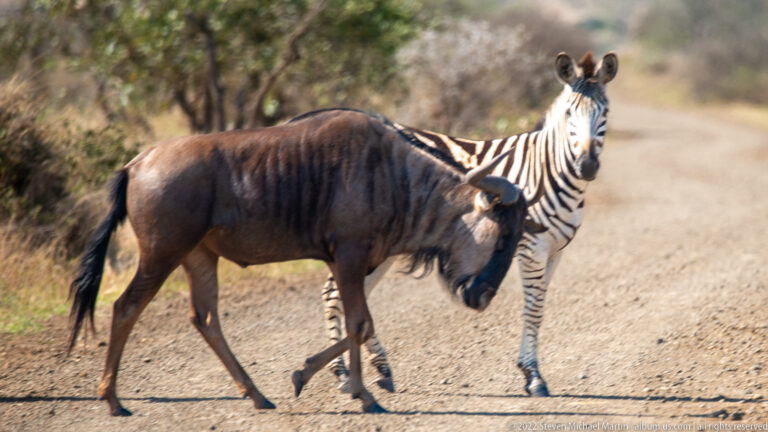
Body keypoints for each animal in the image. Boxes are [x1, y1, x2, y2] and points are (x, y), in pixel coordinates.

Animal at [321, 51, 618, 396]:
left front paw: (529, 369)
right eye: (570, 112)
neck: (546, 171)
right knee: (333, 293)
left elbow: (539, 308)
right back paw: (343, 374)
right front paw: (533, 375)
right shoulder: (532, 249)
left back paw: (379, 369)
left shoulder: (556, 251)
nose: (587, 166)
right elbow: (532, 310)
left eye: (605, 112)